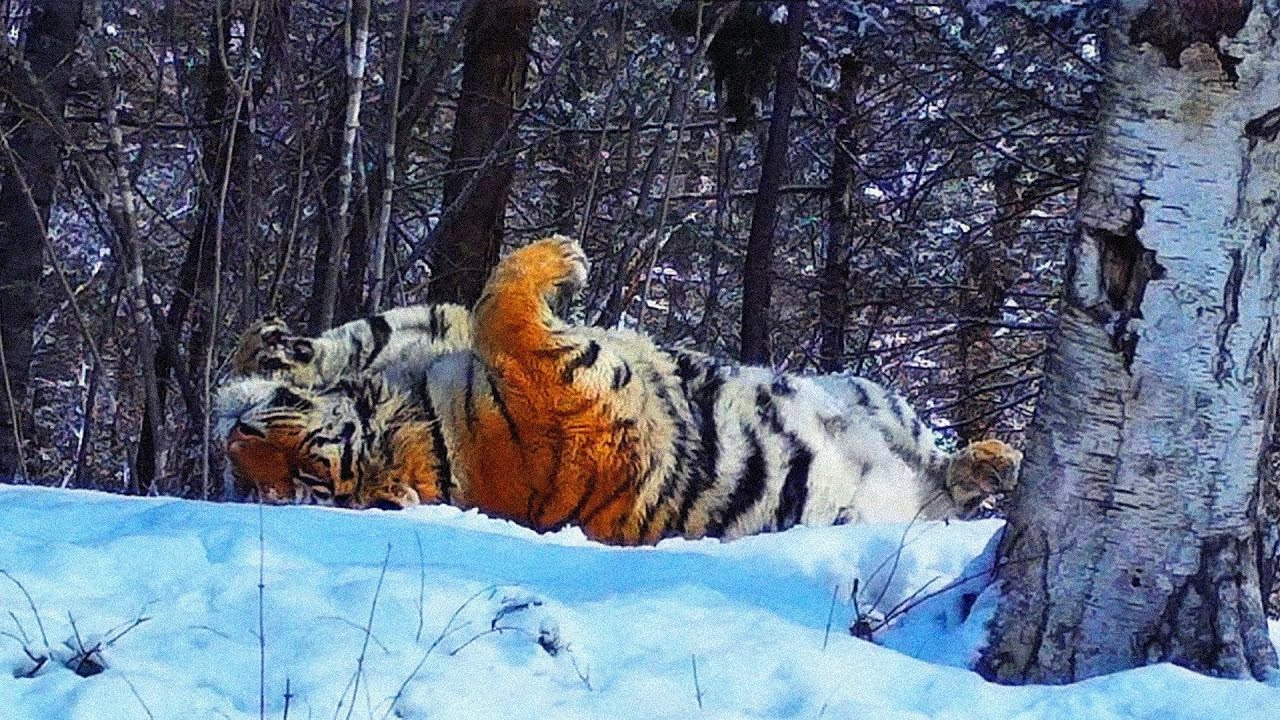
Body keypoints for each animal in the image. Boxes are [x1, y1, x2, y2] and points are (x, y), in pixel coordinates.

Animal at [215, 236, 1022, 544]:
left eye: (306, 470)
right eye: (286, 486)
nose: (232, 441)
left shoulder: (430, 331)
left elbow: (383, 323)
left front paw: (269, 347)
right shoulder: (570, 401)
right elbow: (503, 314)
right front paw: (562, 256)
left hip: (869, 395)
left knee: (940, 457)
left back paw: (994, 458)